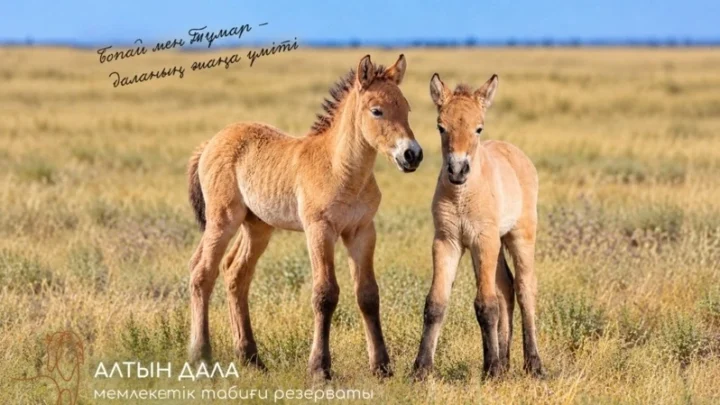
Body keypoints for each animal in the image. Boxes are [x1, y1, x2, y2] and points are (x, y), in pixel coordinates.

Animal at [186, 54, 423, 380]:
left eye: (407, 108)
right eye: (377, 110)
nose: (412, 155)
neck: (342, 170)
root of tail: (210, 142)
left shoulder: (362, 231)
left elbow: (368, 295)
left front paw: (382, 367)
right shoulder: (319, 230)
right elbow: (325, 294)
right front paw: (320, 368)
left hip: (257, 226)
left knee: (235, 273)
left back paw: (251, 358)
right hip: (223, 219)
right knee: (202, 273)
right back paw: (201, 356)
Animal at [412, 73, 543, 378]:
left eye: (478, 128)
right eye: (440, 127)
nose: (457, 170)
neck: (462, 196)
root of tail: (516, 153)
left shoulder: (484, 240)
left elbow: (486, 305)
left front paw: (492, 370)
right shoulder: (448, 242)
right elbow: (436, 303)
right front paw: (421, 369)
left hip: (518, 236)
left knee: (524, 289)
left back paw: (532, 364)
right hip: (486, 246)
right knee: (506, 289)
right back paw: (505, 362)